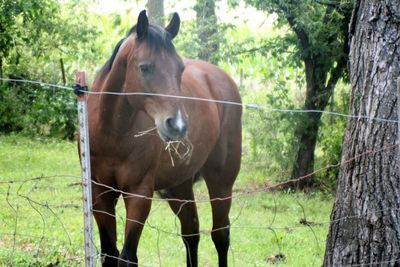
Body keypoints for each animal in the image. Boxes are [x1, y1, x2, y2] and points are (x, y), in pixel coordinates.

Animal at [86, 10, 242, 267]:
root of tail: (221, 79)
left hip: (221, 182)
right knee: (191, 232)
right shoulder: (100, 193)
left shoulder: (139, 194)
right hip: (179, 185)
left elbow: (127, 257)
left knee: (220, 235)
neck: (111, 134)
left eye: (180, 69)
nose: (177, 125)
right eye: (145, 67)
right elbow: (110, 255)